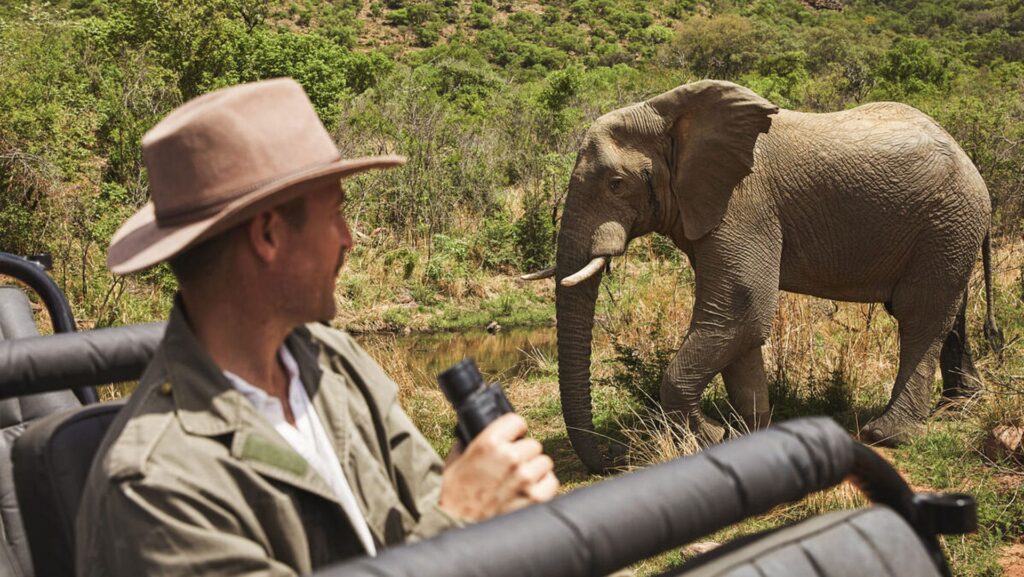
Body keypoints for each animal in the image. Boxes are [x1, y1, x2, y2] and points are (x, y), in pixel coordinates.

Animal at [526, 80, 1002, 474]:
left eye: (616, 184)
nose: (613, 457)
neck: (666, 112)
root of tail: (971, 162)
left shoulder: (744, 202)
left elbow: (742, 309)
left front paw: (712, 436)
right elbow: (738, 325)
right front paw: (747, 433)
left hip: (947, 221)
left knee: (919, 316)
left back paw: (887, 434)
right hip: (950, 229)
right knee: (951, 315)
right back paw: (959, 408)